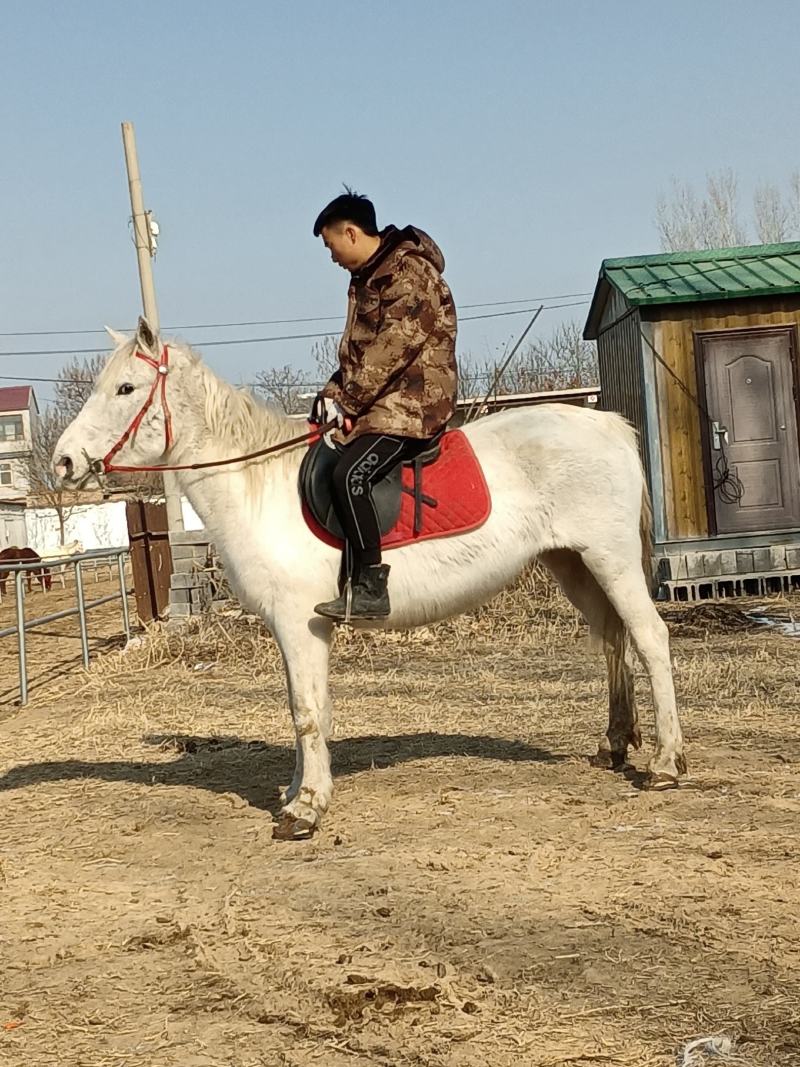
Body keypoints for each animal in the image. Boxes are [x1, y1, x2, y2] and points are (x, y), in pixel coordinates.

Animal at [52, 320, 686, 839]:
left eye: (125, 389)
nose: (62, 461)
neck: (262, 485)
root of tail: (610, 425)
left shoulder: (300, 623)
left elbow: (306, 710)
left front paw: (304, 809)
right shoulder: (294, 630)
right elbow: (308, 708)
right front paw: (299, 790)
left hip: (611, 559)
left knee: (650, 639)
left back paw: (665, 763)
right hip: (572, 562)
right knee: (612, 639)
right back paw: (613, 746)